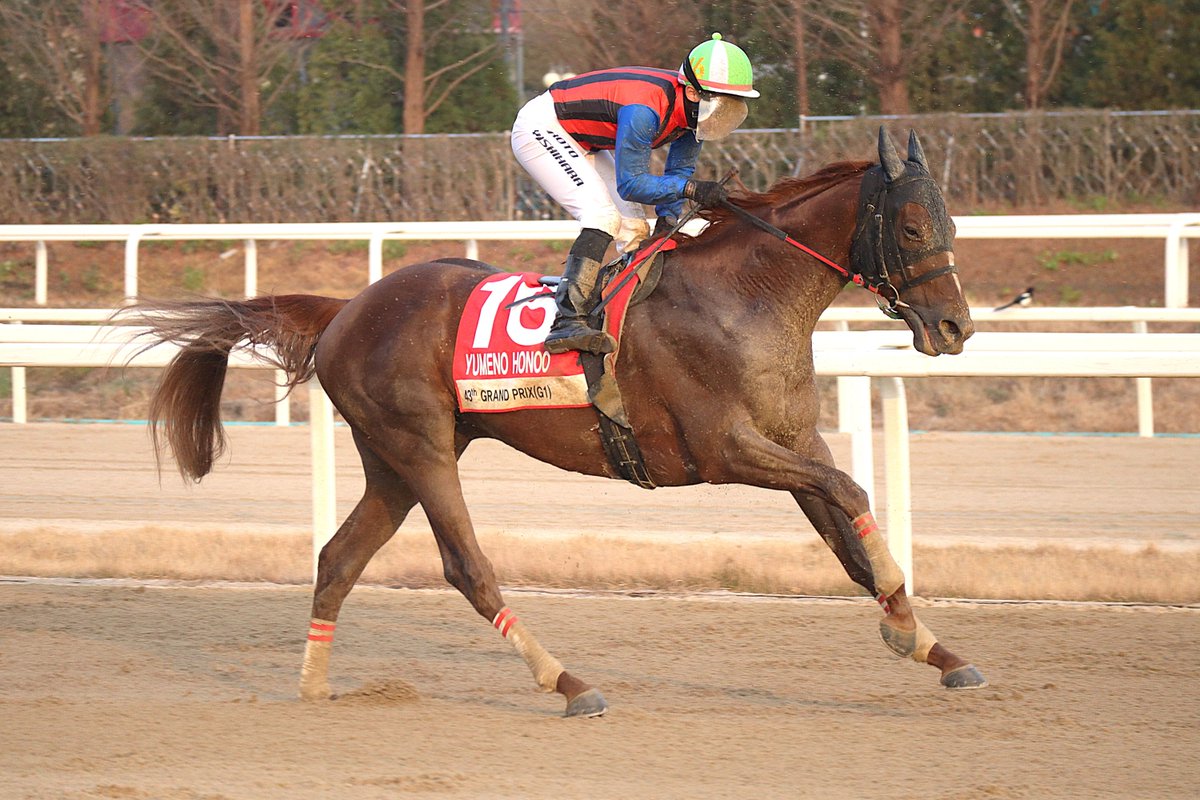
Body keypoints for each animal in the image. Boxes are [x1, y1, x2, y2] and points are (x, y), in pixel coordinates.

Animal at [129, 128, 986, 718]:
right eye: (912, 228)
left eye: (952, 227)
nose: (954, 327)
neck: (747, 293)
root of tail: (347, 308)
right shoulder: (724, 447)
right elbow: (852, 493)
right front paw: (904, 617)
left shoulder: (790, 440)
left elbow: (845, 526)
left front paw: (930, 644)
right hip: (421, 448)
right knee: (467, 568)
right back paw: (568, 682)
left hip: (392, 462)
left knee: (338, 559)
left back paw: (313, 687)